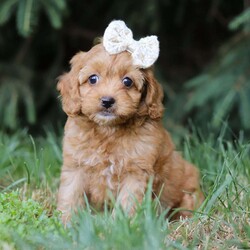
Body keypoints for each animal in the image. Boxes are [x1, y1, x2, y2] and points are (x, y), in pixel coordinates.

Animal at [57, 21, 204, 223]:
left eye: (127, 81)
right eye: (93, 79)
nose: (107, 101)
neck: (108, 131)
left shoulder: (136, 173)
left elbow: (127, 203)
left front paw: (119, 225)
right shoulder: (75, 167)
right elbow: (70, 195)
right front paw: (66, 223)